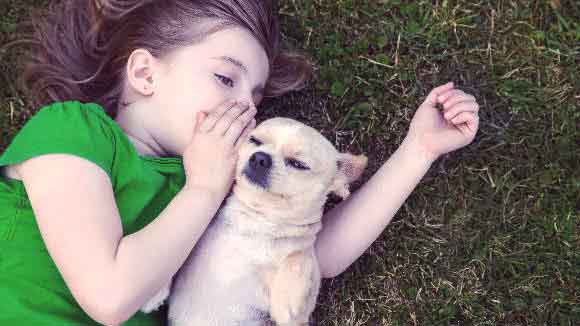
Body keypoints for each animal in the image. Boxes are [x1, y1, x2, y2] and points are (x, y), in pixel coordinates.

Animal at [140, 118, 368, 326]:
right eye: (255, 141)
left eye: (298, 164)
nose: (260, 157)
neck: (258, 221)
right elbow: (175, 255)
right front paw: (154, 292)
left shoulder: (300, 316)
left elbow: (300, 256)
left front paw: (288, 298)